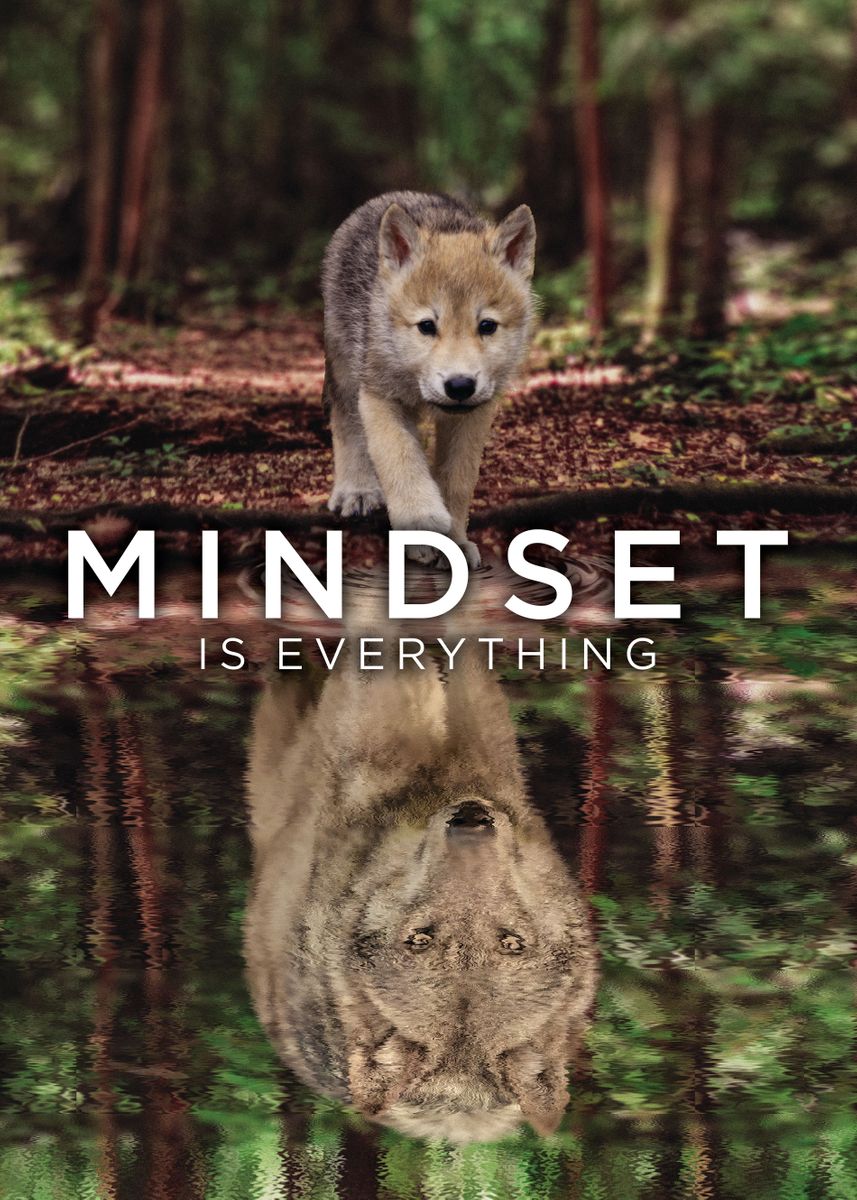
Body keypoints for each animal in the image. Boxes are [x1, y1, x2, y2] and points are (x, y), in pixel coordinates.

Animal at [322, 192, 537, 567]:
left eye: (487, 326)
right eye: (426, 326)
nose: (460, 385)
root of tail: (395, 195)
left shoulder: (475, 414)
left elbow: (457, 480)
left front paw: (454, 542)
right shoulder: (378, 396)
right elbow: (401, 458)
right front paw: (421, 526)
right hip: (346, 372)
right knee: (346, 425)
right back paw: (356, 490)